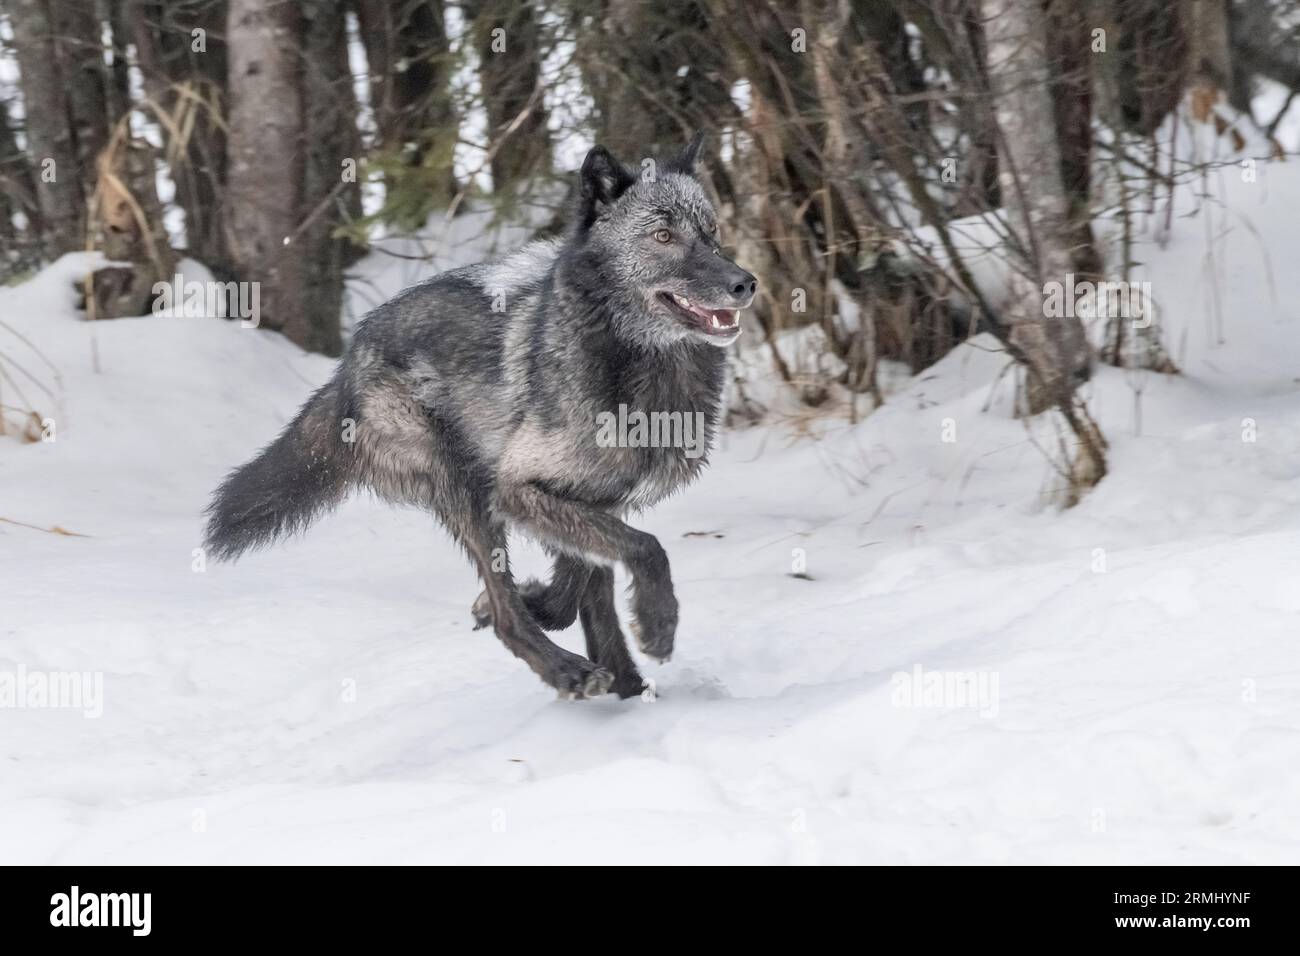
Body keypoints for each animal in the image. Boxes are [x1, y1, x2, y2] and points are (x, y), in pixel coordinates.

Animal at [204, 134, 756, 700]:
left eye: (712, 232)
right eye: (663, 235)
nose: (745, 284)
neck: (648, 372)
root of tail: (350, 357)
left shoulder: (595, 501)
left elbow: (585, 579)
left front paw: (555, 607)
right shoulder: (515, 488)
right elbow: (643, 549)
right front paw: (657, 624)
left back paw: (622, 683)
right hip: (467, 492)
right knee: (509, 612)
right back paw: (567, 669)